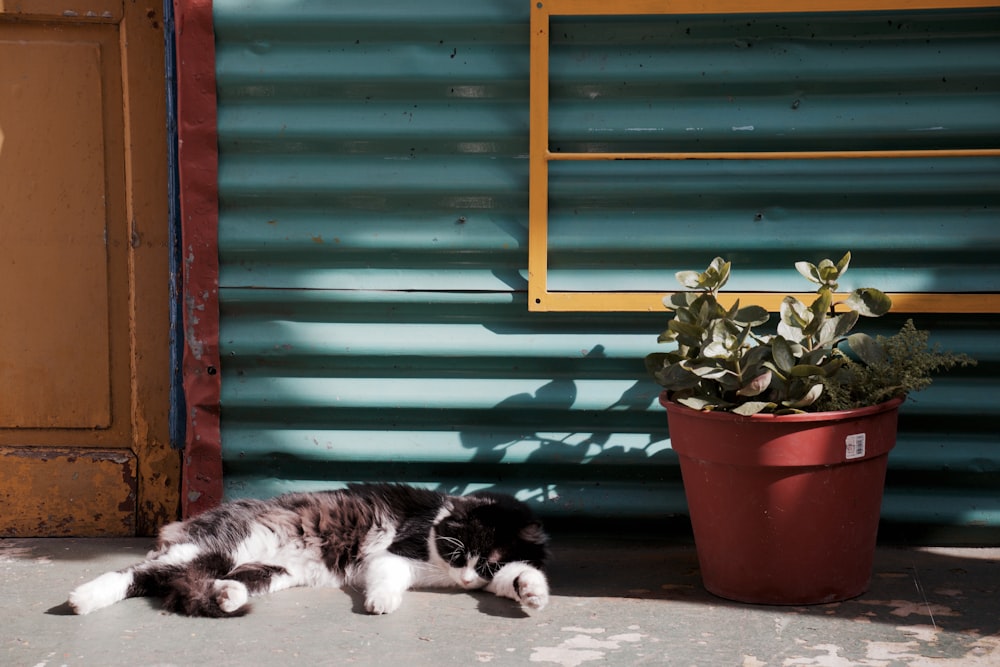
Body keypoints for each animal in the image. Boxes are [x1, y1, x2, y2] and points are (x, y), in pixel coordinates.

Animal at [68, 482, 556, 620]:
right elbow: (387, 580)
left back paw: (227, 597)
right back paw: (82, 599)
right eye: (457, 553)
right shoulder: (393, 555)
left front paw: (533, 594)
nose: (466, 579)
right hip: (217, 546)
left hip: (265, 571)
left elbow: (517, 576)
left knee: (191, 582)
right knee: (140, 573)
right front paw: (381, 602)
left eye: (486, 562)